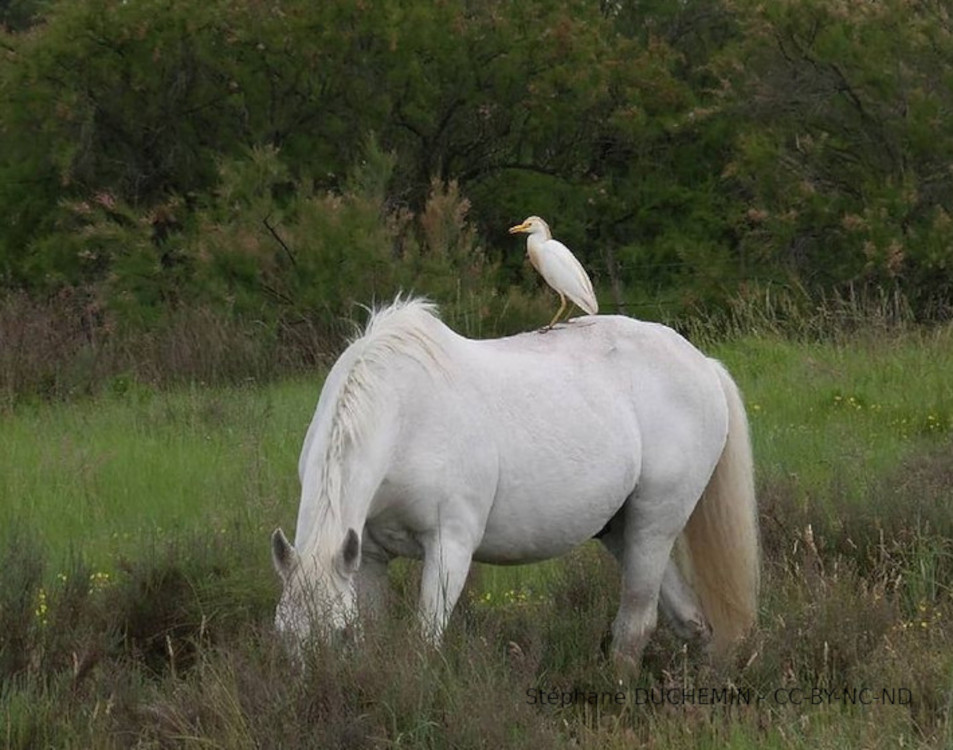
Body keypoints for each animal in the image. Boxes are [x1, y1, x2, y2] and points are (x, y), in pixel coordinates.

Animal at [270, 296, 760, 672]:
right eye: (283, 633)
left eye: (338, 632)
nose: (321, 691)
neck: (405, 413)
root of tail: (704, 365)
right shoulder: (368, 556)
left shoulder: (449, 547)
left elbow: (425, 640)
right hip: (620, 530)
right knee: (692, 621)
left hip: (654, 525)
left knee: (635, 627)